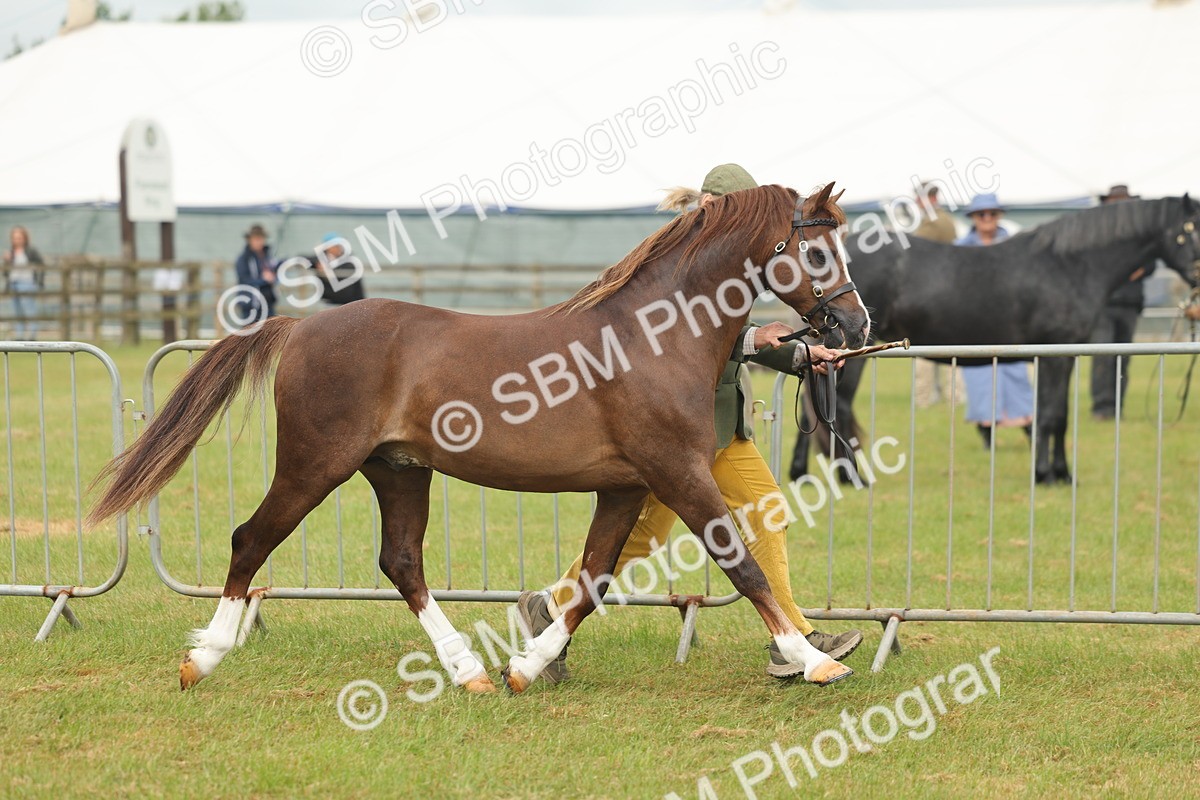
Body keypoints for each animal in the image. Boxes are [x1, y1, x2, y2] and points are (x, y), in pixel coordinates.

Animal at [87, 183, 871, 694]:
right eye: (819, 252)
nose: (855, 327)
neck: (653, 335)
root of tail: (302, 325)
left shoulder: (626, 486)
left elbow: (592, 582)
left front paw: (525, 668)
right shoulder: (676, 472)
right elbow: (742, 565)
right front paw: (815, 660)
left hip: (399, 470)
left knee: (401, 561)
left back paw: (468, 673)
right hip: (315, 465)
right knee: (250, 540)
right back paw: (203, 659)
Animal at [791, 195, 1200, 485]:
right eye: (1191, 229)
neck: (1069, 266)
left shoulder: (1065, 355)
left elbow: (1060, 416)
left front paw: (1064, 474)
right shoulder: (1053, 354)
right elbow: (1050, 415)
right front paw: (1045, 475)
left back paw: (805, 474)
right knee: (840, 407)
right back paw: (854, 477)